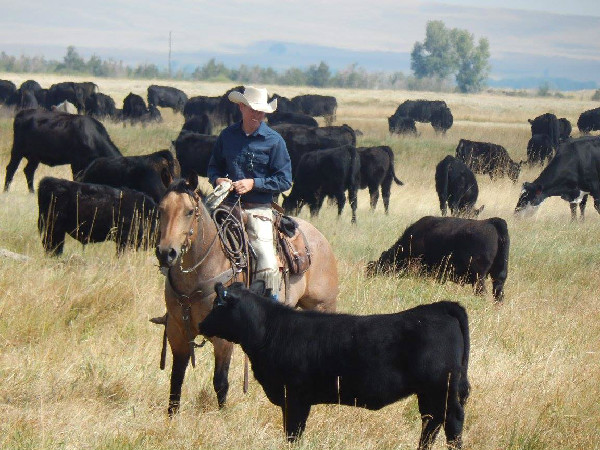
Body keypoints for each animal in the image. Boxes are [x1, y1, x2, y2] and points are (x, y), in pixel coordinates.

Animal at [155, 174, 340, 416]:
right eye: (161, 209)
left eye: (189, 211)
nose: (166, 253)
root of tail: (320, 238)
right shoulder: (177, 332)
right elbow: (176, 379)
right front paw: (171, 417)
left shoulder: (223, 339)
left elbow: (220, 382)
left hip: (323, 306)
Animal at [199, 282, 472, 450]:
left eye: (217, 305)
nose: (201, 325)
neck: (271, 330)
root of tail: (440, 307)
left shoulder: (295, 398)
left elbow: (293, 433)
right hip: (429, 393)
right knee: (431, 422)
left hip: (442, 389)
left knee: (452, 422)